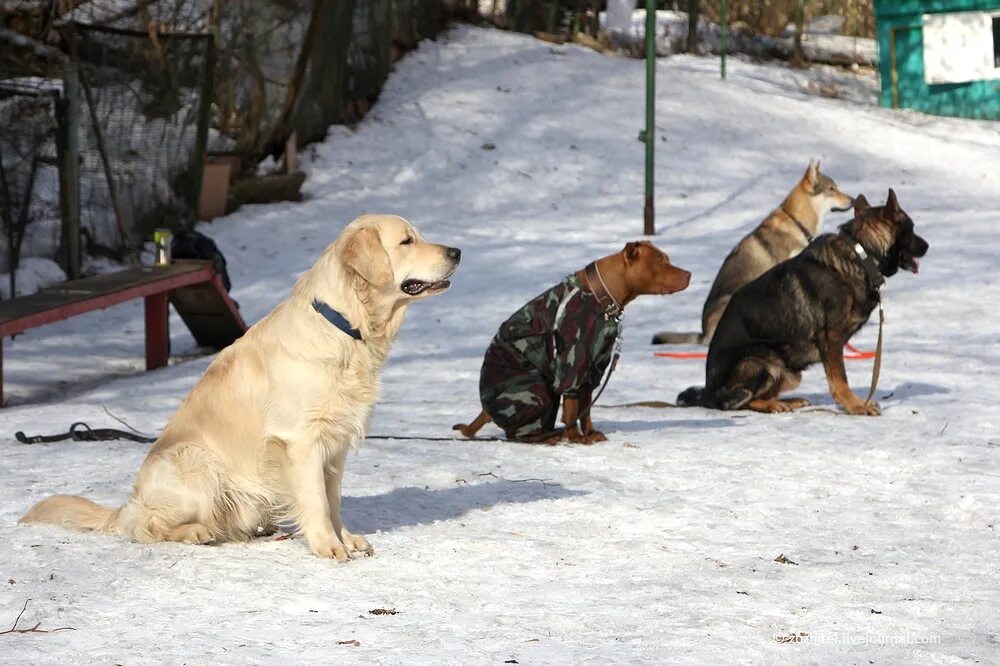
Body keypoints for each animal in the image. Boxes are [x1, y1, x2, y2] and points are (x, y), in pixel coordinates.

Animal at [18, 215, 464, 556]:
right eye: (407, 240)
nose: (457, 252)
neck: (345, 326)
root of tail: (129, 502)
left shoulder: (335, 443)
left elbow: (332, 499)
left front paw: (345, 538)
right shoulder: (301, 441)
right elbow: (317, 501)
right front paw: (328, 547)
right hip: (195, 463)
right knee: (145, 525)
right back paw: (196, 531)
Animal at [458, 241, 692, 444]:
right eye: (660, 260)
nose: (689, 274)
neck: (601, 298)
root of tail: (486, 409)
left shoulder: (593, 367)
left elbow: (585, 407)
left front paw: (589, 433)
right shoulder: (572, 365)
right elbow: (572, 407)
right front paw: (575, 437)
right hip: (537, 389)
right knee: (516, 431)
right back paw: (546, 438)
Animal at [680, 188, 928, 416]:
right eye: (912, 229)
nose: (927, 246)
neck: (861, 254)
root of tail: (709, 393)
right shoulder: (831, 340)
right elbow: (840, 380)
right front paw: (855, 405)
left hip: (789, 373)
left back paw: (789, 401)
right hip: (762, 361)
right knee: (744, 401)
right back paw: (774, 405)